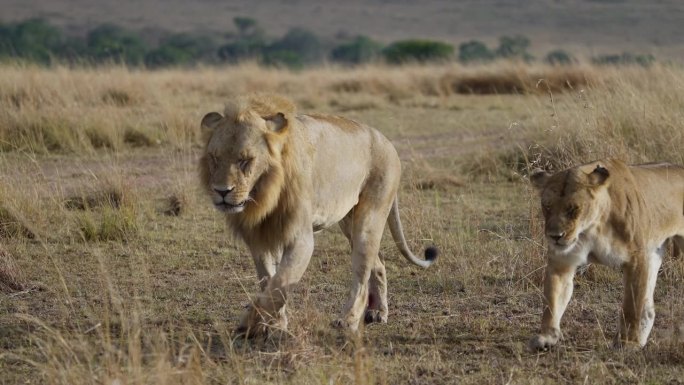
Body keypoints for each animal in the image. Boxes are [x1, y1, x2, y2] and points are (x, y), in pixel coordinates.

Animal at [198, 94, 438, 334]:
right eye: (214, 158)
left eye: (245, 160)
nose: (222, 191)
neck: (264, 195)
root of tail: (386, 140)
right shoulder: (260, 237)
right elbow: (268, 280)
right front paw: (274, 323)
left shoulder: (300, 238)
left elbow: (280, 282)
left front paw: (250, 321)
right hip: (348, 222)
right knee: (377, 264)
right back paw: (377, 311)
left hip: (370, 217)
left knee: (362, 273)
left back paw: (349, 319)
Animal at [528, 158, 684, 350]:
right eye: (547, 206)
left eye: (573, 208)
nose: (555, 236)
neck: (592, 227)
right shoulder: (562, 260)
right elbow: (552, 300)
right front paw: (547, 337)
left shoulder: (637, 258)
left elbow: (631, 306)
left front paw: (628, 343)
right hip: (654, 252)